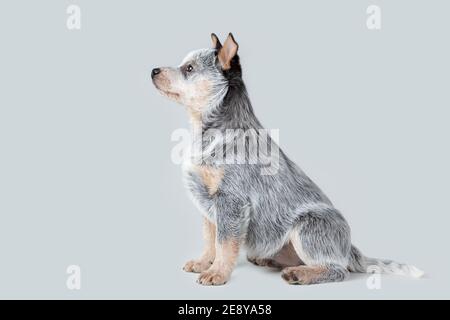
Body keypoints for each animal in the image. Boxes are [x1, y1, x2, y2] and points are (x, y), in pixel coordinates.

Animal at [152, 33, 426, 286]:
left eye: (189, 68)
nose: (154, 70)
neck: (209, 132)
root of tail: (349, 248)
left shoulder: (231, 201)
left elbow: (225, 244)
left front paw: (217, 273)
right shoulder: (208, 205)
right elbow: (210, 240)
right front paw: (203, 263)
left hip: (307, 227)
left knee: (337, 270)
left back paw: (300, 274)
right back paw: (269, 260)